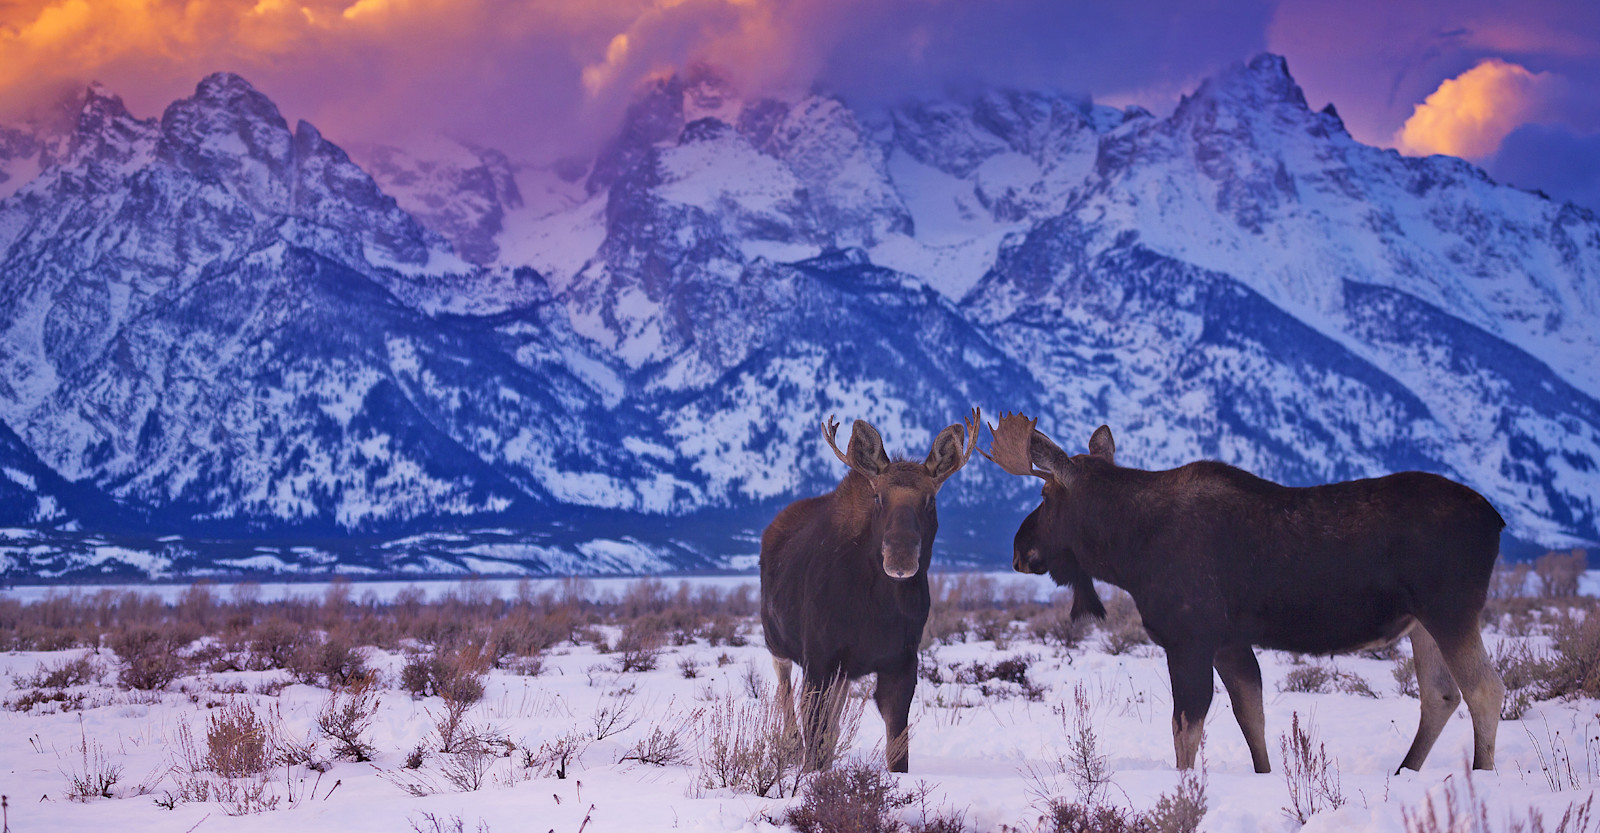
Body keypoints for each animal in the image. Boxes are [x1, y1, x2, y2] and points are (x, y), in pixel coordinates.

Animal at [758, 409, 979, 773]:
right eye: (878, 496)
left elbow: (896, 751)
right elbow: (814, 740)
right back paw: (788, 747)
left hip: (843, 672)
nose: (900, 555)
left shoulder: (901, 662)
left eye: (930, 499)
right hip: (776, 640)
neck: (877, 609)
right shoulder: (819, 659)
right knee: (785, 689)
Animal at [979, 409, 1504, 773]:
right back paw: (1404, 773)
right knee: (1440, 695)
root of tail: (1496, 519)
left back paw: (1480, 775)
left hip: (1450, 609)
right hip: (1423, 622)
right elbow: (1253, 720)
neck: (1128, 552)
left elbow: (1185, 730)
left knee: (1485, 688)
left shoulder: (1189, 637)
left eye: (1045, 496)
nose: (1019, 549)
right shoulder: (1229, 643)